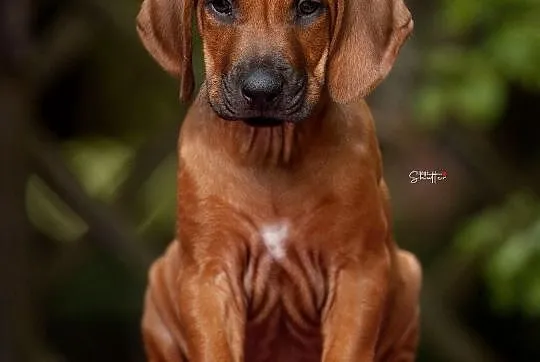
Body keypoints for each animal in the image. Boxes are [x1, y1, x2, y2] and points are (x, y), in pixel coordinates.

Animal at [136, 0, 422, 362]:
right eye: (221, 5)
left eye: (309, 6)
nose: (261, 91)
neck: (272, 150)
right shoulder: (209, 274)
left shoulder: (358, 271)